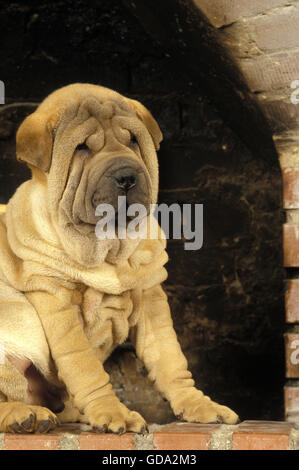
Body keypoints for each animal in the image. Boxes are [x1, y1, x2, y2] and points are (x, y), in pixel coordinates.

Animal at [0, 83, 240, 434]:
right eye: (82, 148)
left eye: (133, 141)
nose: (127, 176)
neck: (107, 249)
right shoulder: (57, 302)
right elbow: (84, 366)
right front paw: (114, 412)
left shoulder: (151, 295)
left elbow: (170, 359)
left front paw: (199, 404)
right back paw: (24, 416)